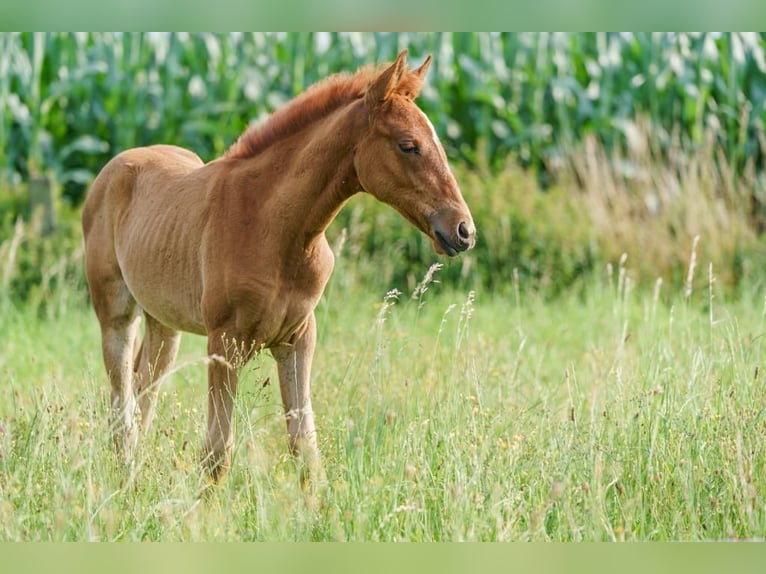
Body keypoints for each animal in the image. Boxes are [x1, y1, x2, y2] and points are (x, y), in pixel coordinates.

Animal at [82, 49, 474, 484]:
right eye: (409, 146)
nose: (463, 230)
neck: (275, 227)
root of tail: (115, 166)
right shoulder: (225, 342)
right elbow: (217, 451)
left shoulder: (298, 339)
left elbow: (304, 447)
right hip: (117, 315)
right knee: (123, 403)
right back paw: (126, 479)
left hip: (165, 323)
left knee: (143, 392)